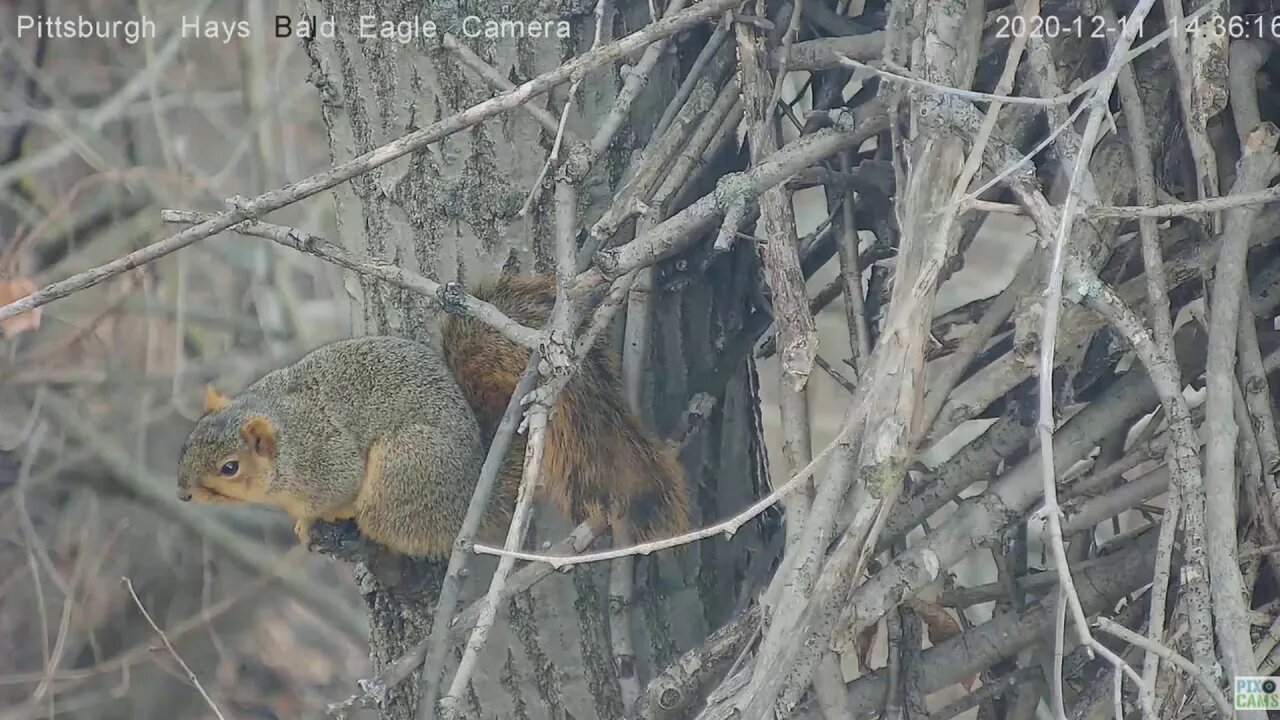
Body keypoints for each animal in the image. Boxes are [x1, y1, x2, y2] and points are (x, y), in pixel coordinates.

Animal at [177, 271, 691, 558]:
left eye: (230, 467)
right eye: (187, 444)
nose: (183, 495)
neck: (285, 441)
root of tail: (467, 499)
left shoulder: (325, 462)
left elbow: (335, 490)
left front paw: (311, 522)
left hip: (403, 470)